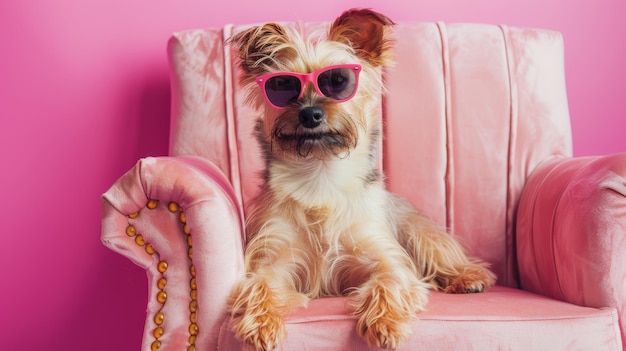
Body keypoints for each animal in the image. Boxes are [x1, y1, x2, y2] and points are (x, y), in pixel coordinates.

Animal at [227, 8, 494, 351]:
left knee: (444, 255)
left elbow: (391, 278)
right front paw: (261, 324)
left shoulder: (383, 255)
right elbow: (261, 284)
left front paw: (384, 322)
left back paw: (468, 278)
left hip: (419, 231)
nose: (310, 114)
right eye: (282, 86)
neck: (320, 174)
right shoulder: (275, 259)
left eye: (338, 81)